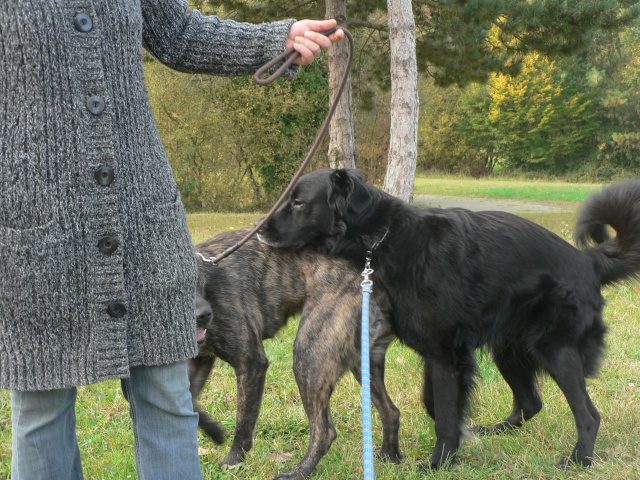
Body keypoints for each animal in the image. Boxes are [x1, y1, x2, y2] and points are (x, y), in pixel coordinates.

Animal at [188, 231, 402, 478]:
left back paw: (299, 472)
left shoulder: (251, 363)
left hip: (310, 356)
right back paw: (390, 457)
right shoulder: (200, 360)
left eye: (196, 280)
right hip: (361, 363)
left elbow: (243, 423)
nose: (204, 315)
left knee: (325, 432)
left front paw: (233, 462)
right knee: (390, 411)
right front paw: (214, 431)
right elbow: (190, 402)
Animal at [258, 170, 640, 468]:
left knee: (588, 415)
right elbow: (437, 404)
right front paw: (459, 439)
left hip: (556, 351)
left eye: (298, 202)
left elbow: (442, 412)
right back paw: (497, 431)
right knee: (531, 403)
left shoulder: (444, 354)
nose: (259, 230)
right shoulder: (438, 355)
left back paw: (579, 460)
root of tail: (589, 260)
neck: (382, 238)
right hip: (509, 350)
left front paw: (439, 461)